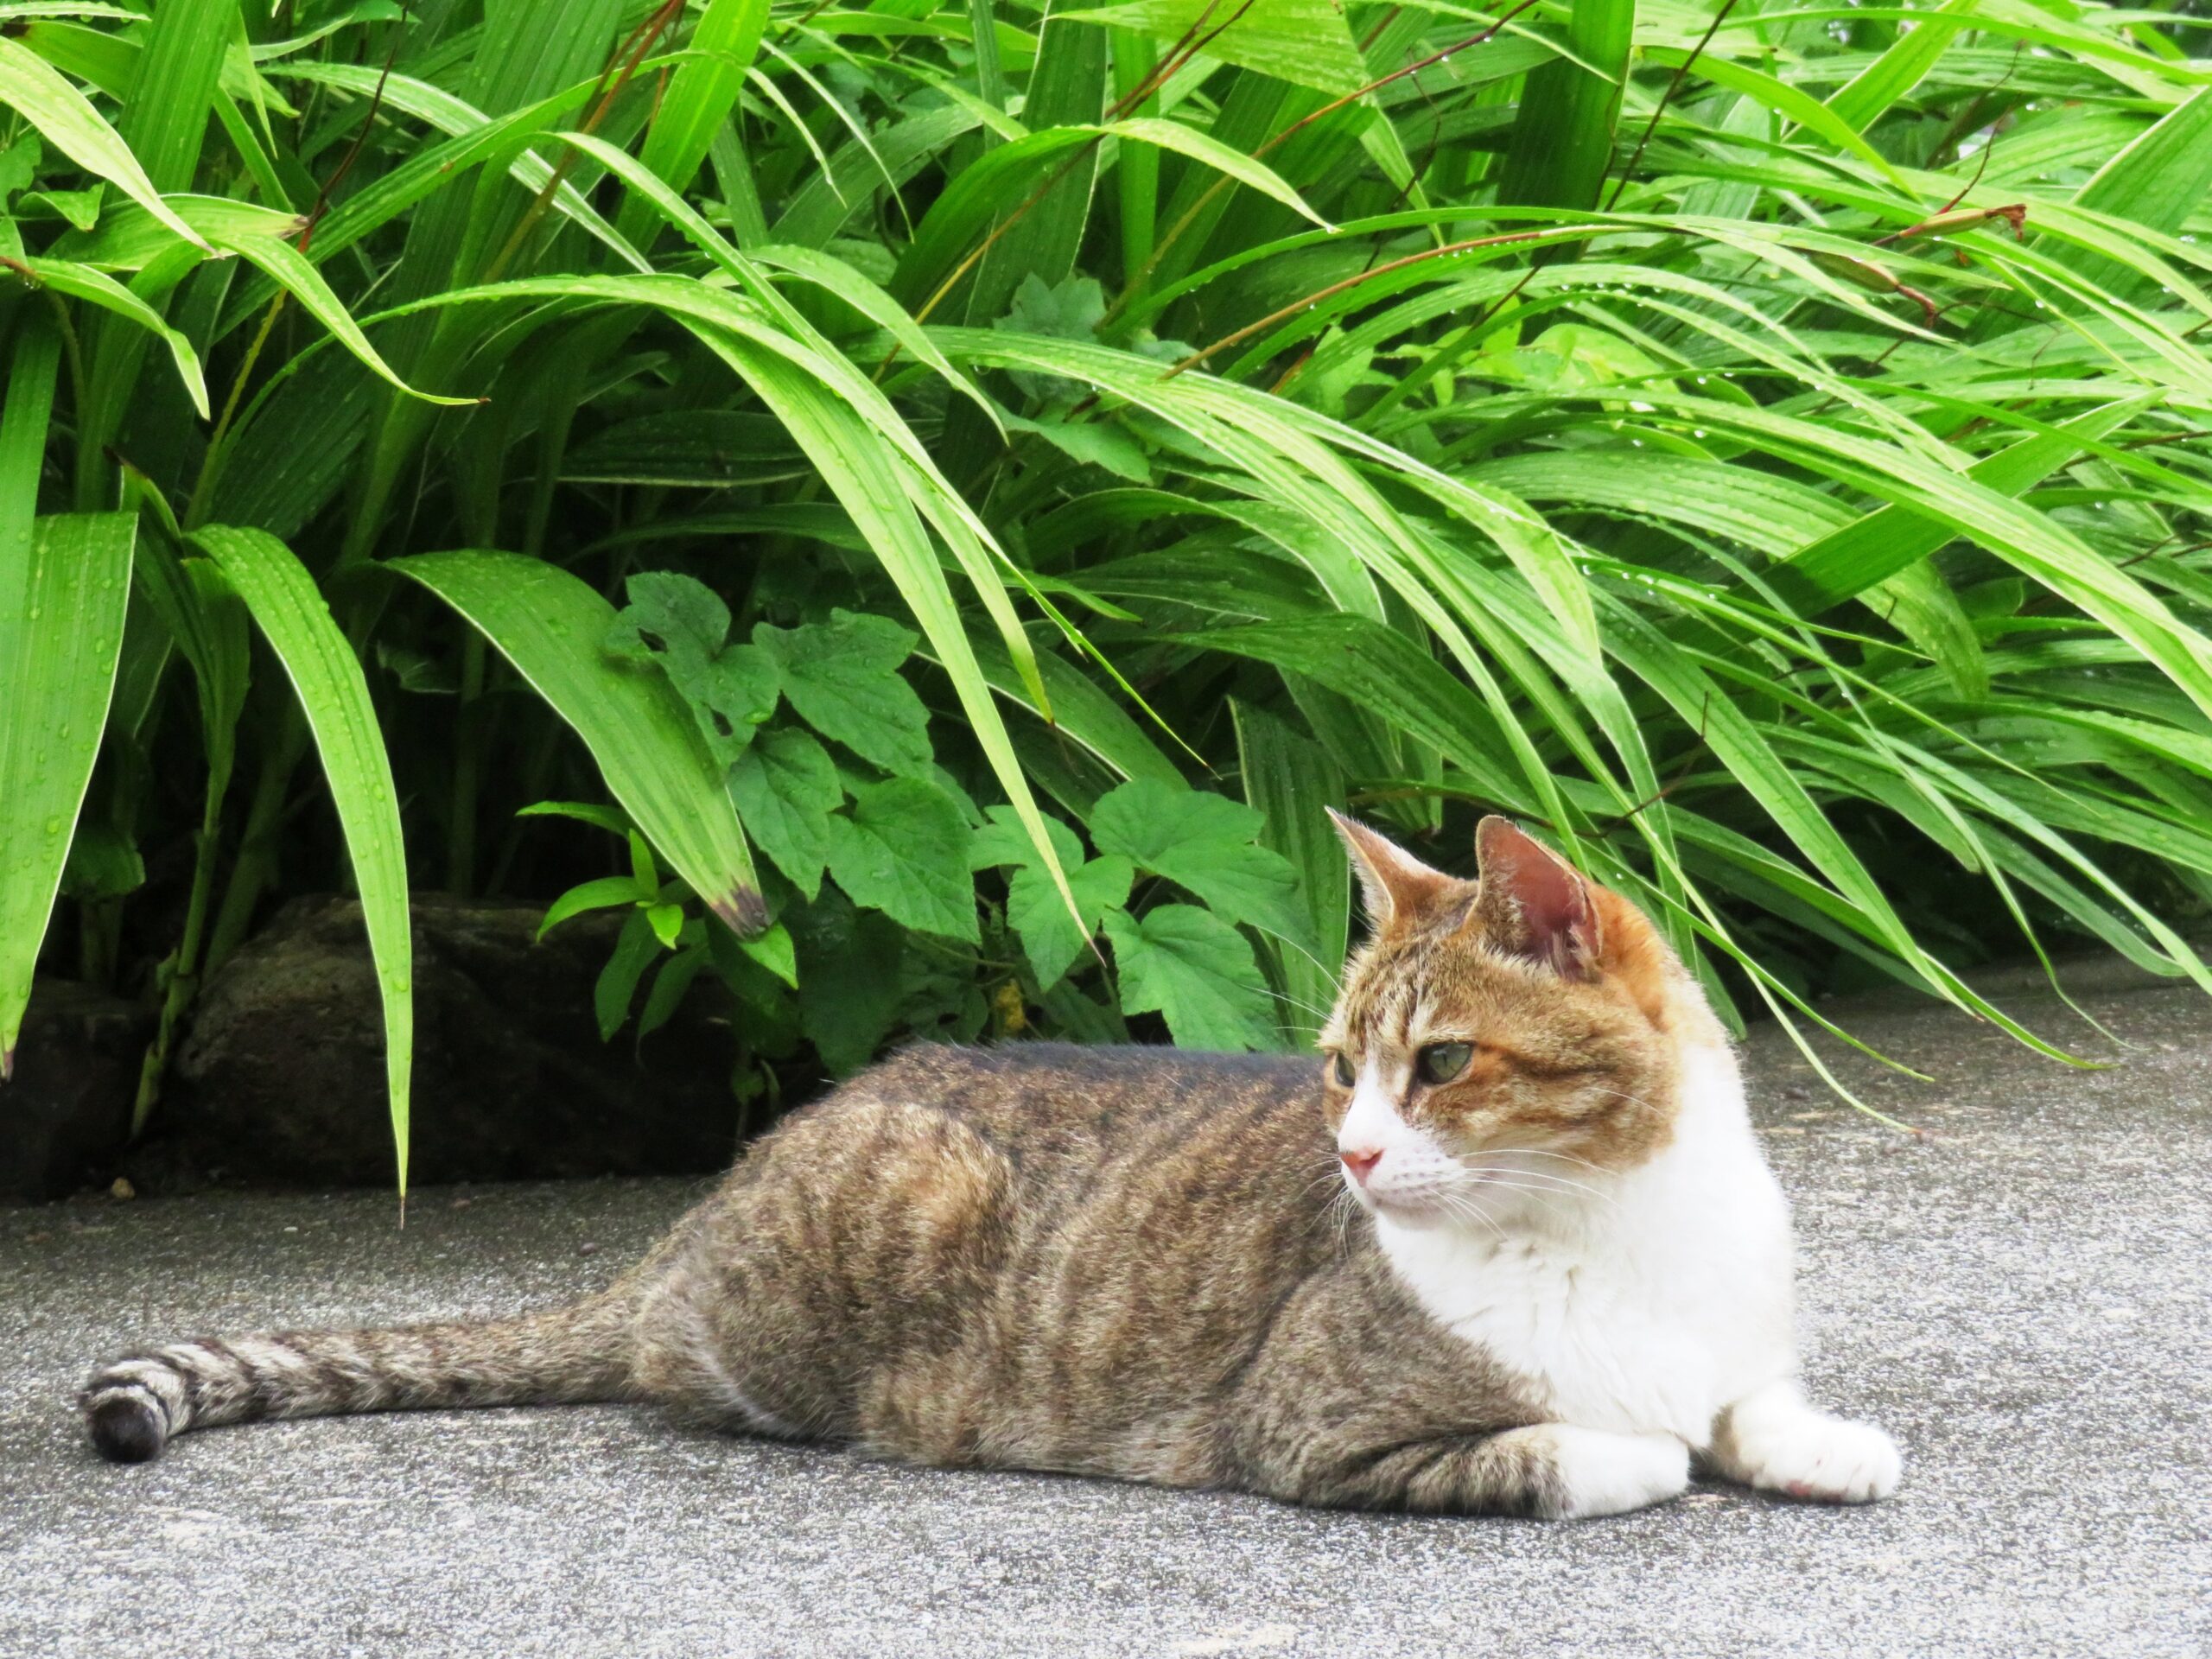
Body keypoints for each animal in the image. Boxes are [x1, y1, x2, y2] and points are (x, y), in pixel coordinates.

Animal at [78, 814, 1893, 1530]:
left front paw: (1822, 1443)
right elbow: (1609, 1447)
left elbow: (1745, 1403)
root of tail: (698, 1212)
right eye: (1337, 1069)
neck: (1615, 1225)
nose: (1357, 1149)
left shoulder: (1728, 1338)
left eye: (1440, 1064)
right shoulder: (1311, 1431)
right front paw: (1646, 1449)